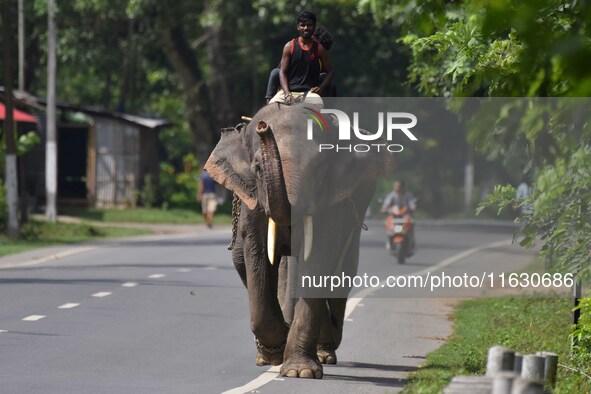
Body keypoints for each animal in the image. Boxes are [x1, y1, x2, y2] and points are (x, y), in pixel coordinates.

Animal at [204, 101, 394, 378]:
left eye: (319, 169)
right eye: (258, 169)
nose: (263, 128)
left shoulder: (331, 203)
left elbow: (319, 256)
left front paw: (299, 372)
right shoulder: (254, 201)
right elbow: (258, 254)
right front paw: (274, 354)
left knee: (343, 269)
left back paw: (324, 351)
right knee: (242, 261)